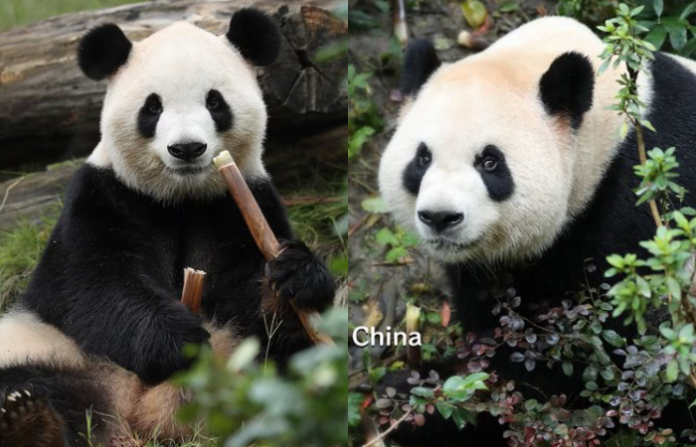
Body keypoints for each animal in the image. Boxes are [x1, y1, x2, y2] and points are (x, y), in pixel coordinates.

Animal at [0, 8, 335, 447]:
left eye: (214, 101)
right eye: (153, 108)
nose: (187, 148)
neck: (181, 198)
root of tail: (135, 414)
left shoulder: (238, 203)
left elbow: (252, 301)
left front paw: (294, 276)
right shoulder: (104, 196)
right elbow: (93, 283)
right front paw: (178, 341)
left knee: (296, 368)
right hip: (47, 346)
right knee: (29, 378)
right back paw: (27, 419)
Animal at [378, 16, 696, 446]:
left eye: (490, 162)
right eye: (422, 158)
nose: (440, 217)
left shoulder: (640, 211)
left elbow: (582, 360)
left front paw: (429, 404)